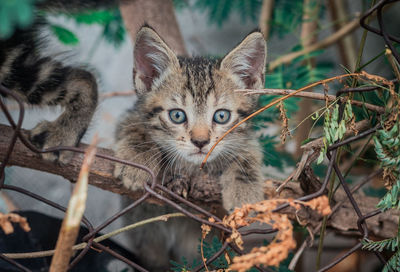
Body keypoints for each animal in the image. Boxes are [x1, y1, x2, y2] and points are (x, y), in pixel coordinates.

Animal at [114, 25, 268, 270]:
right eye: (177, 116)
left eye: (221, 116)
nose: (200, 141)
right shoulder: (129, 116)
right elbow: (136, 126)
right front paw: (136, 161)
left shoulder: (246, 137)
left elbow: (248, 149)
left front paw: (244, 191)